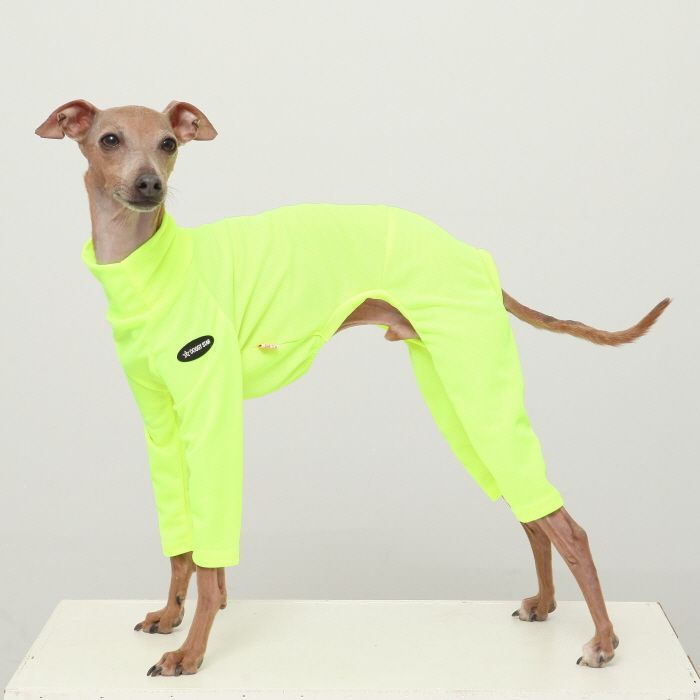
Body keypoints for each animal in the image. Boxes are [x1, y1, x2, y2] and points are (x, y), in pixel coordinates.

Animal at [35, 99, 670, 677]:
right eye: (110, 139)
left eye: (168, 143)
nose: (150, 185)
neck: (145, 270)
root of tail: (477, 258)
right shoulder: (164, 428)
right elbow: (182, 546)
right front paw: (169, 616)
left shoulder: (210, 416)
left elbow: (211, 564)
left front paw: (190, 653)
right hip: (458, 396)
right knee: (534, 514)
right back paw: (544, 604)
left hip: (475, 387)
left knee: (569, 529)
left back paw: (605, 642)